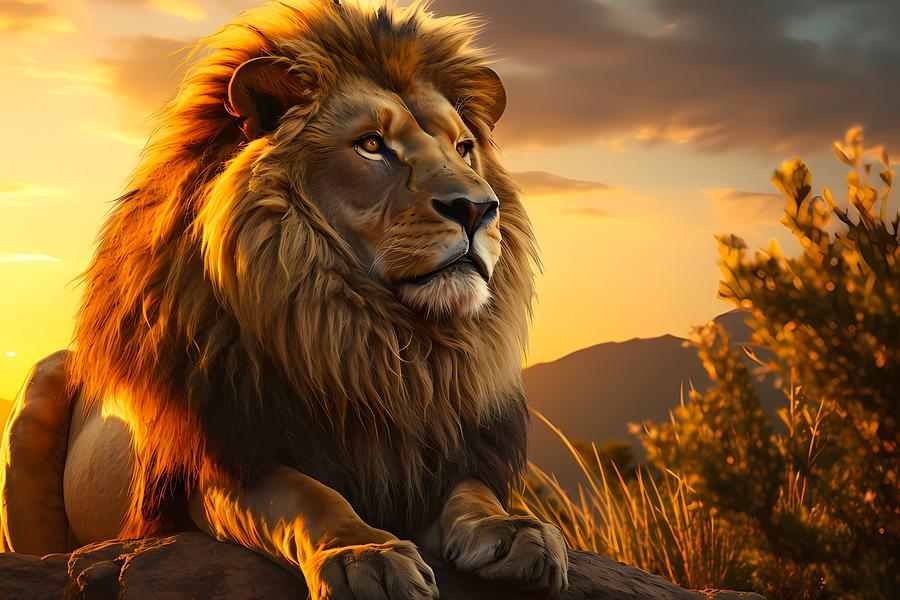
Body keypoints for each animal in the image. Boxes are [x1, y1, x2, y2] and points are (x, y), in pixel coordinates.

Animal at [0, 1, 568, 597]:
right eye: (371, 145)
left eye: (463, 148)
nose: (479, 209)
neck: (381, 347)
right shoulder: (222, 462)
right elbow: (309, 497)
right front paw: (365, 554)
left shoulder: (441, 452)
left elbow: (473, 492)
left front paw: (516, 531)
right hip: (40, 390)